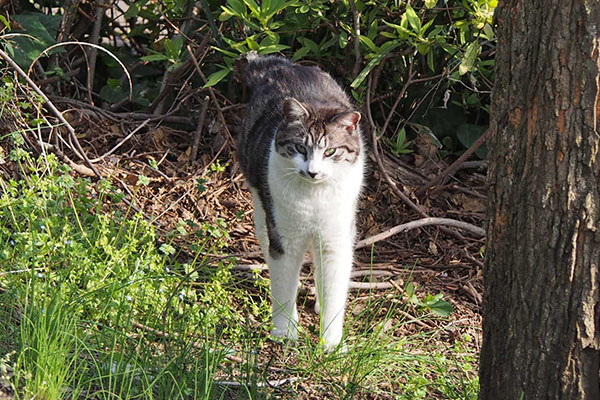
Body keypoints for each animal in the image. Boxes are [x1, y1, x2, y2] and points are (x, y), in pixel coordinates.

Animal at [237, 51, 364, 352]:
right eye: (299, 147)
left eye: (330, 152)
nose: (313, 171)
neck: (314, 198)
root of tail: (280, 65)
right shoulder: (284, 238)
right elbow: (284, 285)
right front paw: (285, 332)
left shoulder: (336, 240)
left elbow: (334, 291)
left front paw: (331, 344)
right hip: (262, 209)